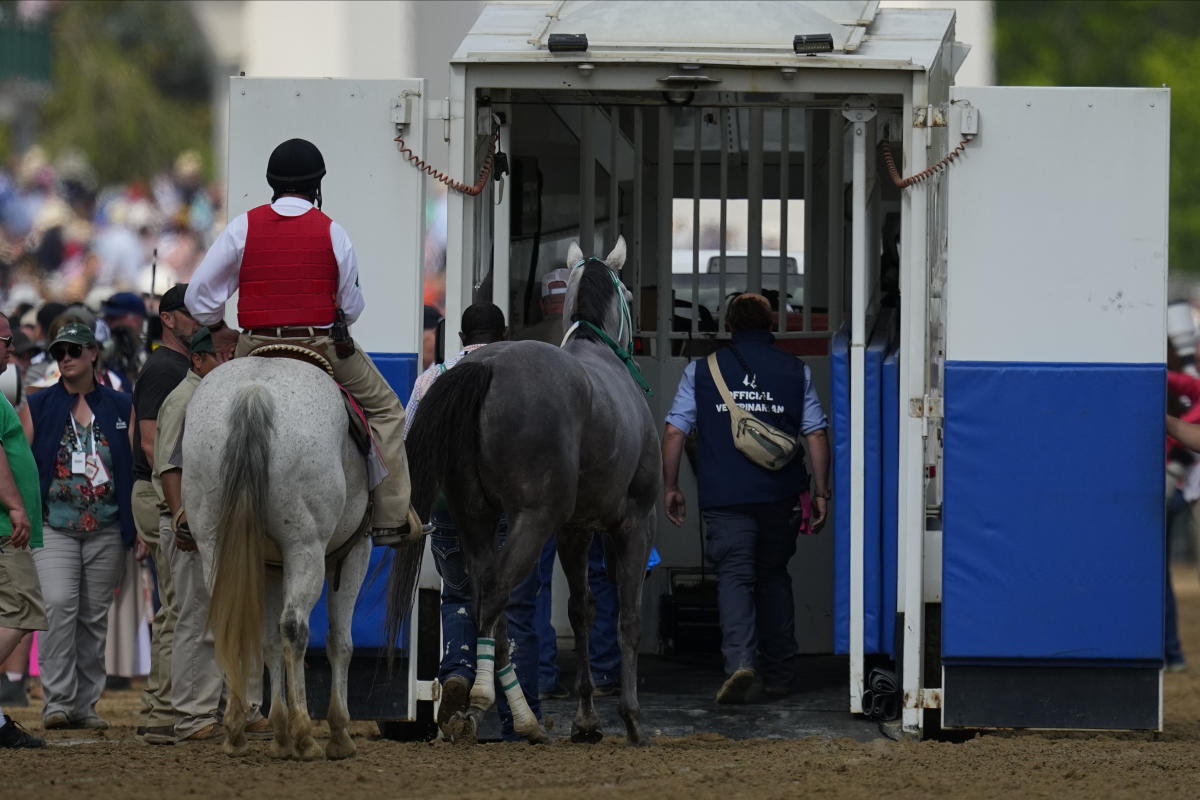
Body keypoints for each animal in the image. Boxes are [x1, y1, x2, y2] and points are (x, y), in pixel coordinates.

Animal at [180, 357, 369, 762]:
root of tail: (254, 392)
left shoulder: (268, 567)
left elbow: (267, 641)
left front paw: (279, 731)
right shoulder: (353, 553)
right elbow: (340, 642)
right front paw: (338, 733)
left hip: (215, 544)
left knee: (233, 623)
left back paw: (237, 730)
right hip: (305, 548)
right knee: (295, 628)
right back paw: (305, 736)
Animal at [393, 236, 662, 743]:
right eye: (631, 296)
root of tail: (487, 368)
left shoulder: (575, 530)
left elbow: (581, 611)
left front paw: (586, 719)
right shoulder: (634, 522)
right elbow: (629, 617)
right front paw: (632, 718)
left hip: (475, 516)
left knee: (481, 596)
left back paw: (511, 714)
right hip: (532, 519)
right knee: (499, 590)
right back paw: (485, 702)